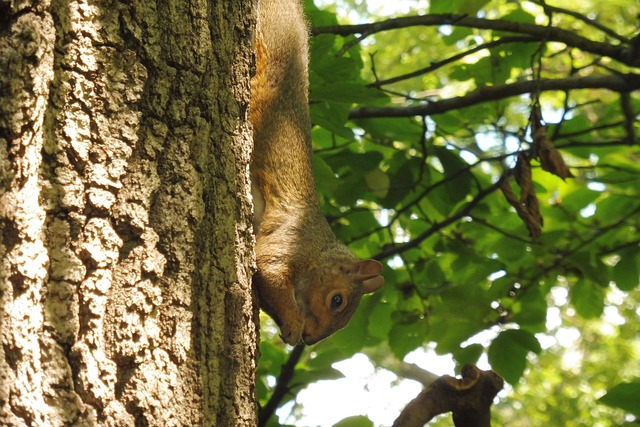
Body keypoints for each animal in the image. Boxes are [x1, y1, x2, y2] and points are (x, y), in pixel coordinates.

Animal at [249, 0, 382, 346]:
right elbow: (269, 270)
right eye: (337, 300)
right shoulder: (291, 238)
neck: (319, 245)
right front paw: (294, 323)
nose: (310, 339)